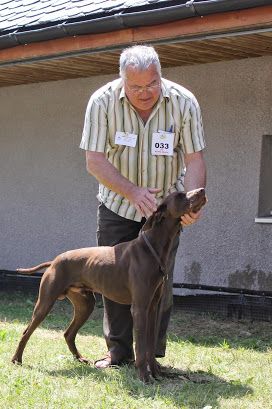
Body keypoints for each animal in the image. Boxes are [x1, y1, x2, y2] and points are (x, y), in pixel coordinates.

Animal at [11, 188, 206, 382]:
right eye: (180, 195)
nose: (202, 190)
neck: (153, 249)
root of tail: (54, 261)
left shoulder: (152, 308)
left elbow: (150, 347)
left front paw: (156, 373)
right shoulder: (139, 308)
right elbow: (141, 348)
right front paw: (144, 376)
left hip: (85, 305)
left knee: (68, 333)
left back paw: (80, 358)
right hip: (45, 303)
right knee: (26, 332)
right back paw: (16, 360)